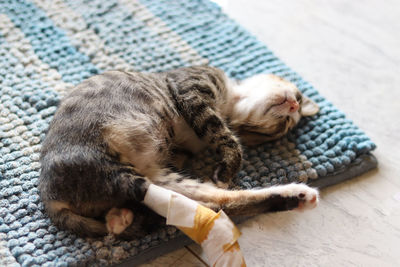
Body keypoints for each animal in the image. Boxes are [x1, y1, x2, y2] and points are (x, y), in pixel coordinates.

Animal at [39, 66, 320, 240]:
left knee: (210, 202)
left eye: (284, 125)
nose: (293, 105)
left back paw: (297, 196)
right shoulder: (191, 91)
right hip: (110, 165)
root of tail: (50, 197)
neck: (228, 104)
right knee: (171, 199)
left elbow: (220, 138)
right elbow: (225, 135)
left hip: (151, 175)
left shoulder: (183, 148)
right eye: (297, 99)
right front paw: (228, 167)